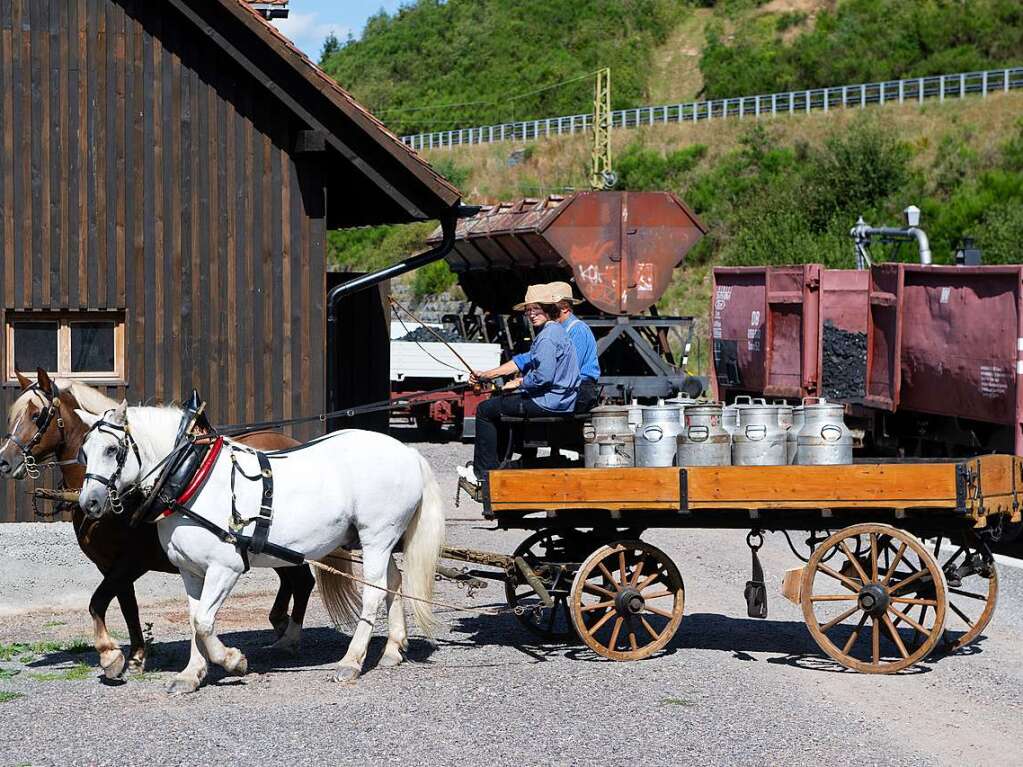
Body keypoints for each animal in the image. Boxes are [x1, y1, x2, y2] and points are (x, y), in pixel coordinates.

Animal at [0, 370, 313, 683]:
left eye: (37, 415)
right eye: (11, 416)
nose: (4, 461)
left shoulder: (131, 561)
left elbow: (98, 601)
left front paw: (110, 655)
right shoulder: (109, 565)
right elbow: (127, 605)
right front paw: (136, 656)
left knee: (303, 581)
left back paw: (288, 637)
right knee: (294, 580)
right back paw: (280, 624)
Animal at [77, 404, 446, 695]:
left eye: (112, 450)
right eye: (84, 452)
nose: (88, 503)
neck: (192, 477)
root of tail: (407, 453)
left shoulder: (225, 568)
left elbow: (204, 622)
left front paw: (233, 661)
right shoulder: (191, 571)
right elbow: (194, 619)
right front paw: (190, 675)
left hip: (377, 536)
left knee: (373, 593)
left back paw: (351, 661)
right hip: (379, 540)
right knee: (393, 583)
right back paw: (393, 649)